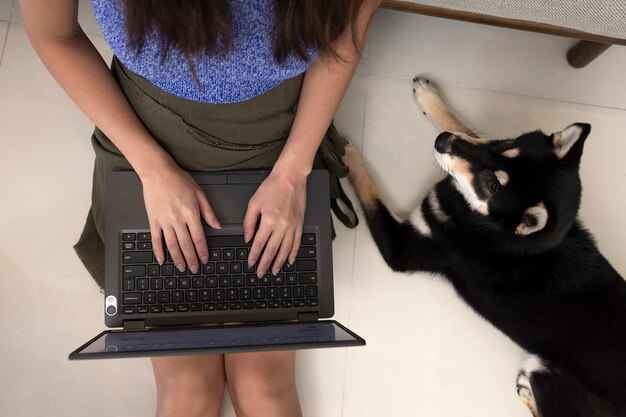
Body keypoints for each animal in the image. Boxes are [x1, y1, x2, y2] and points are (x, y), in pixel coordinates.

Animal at [344, 78, 624, 416]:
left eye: (491, 185)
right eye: (507, 144)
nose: (441, 141)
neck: (485, 224)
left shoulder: (405, 249)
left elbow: (369, 191)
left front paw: (342, 154)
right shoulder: (473, 145)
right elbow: (466, 130)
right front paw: (430, 98)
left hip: (552, 379)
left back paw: (527, 392)